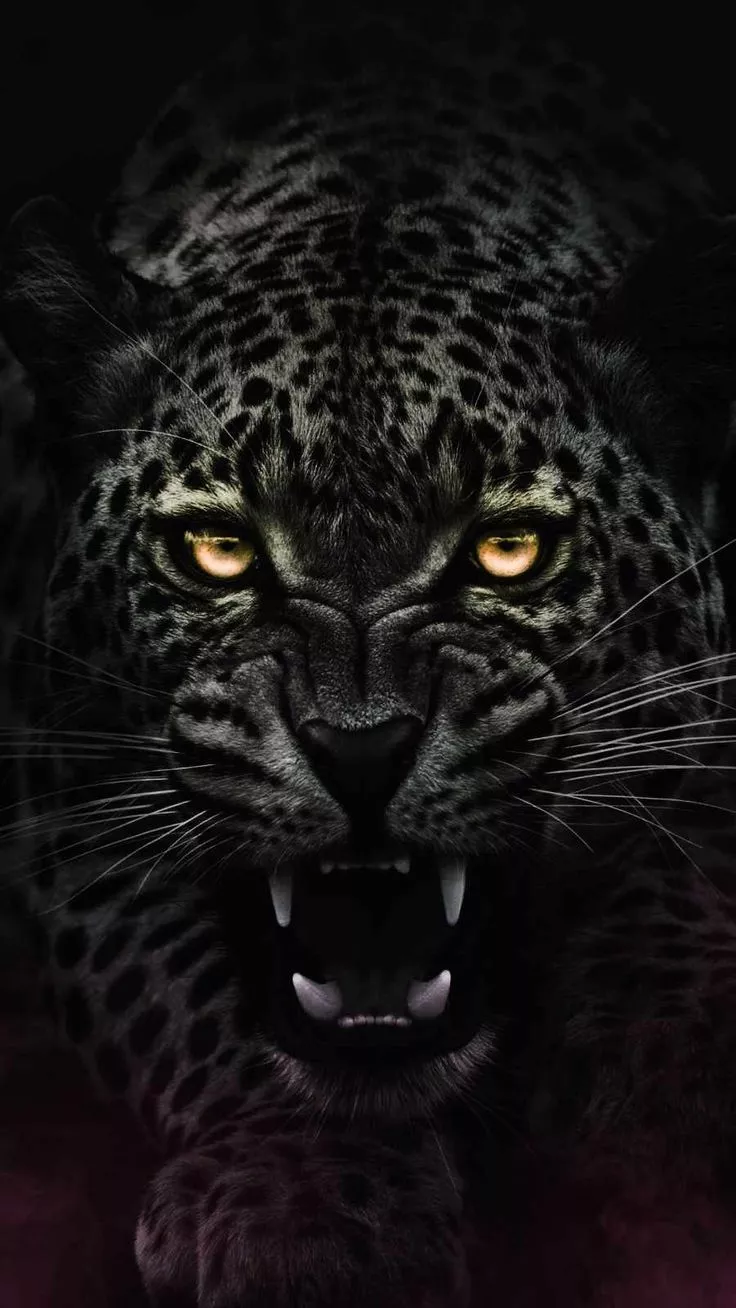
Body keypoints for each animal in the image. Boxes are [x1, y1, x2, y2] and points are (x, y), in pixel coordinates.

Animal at [2, 1, 736, 1304]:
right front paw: (309, 1206)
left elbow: (678, 922)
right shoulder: (60, 780)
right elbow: (175, 993)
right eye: (217, 551)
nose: (359, 750)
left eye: (507, 550)